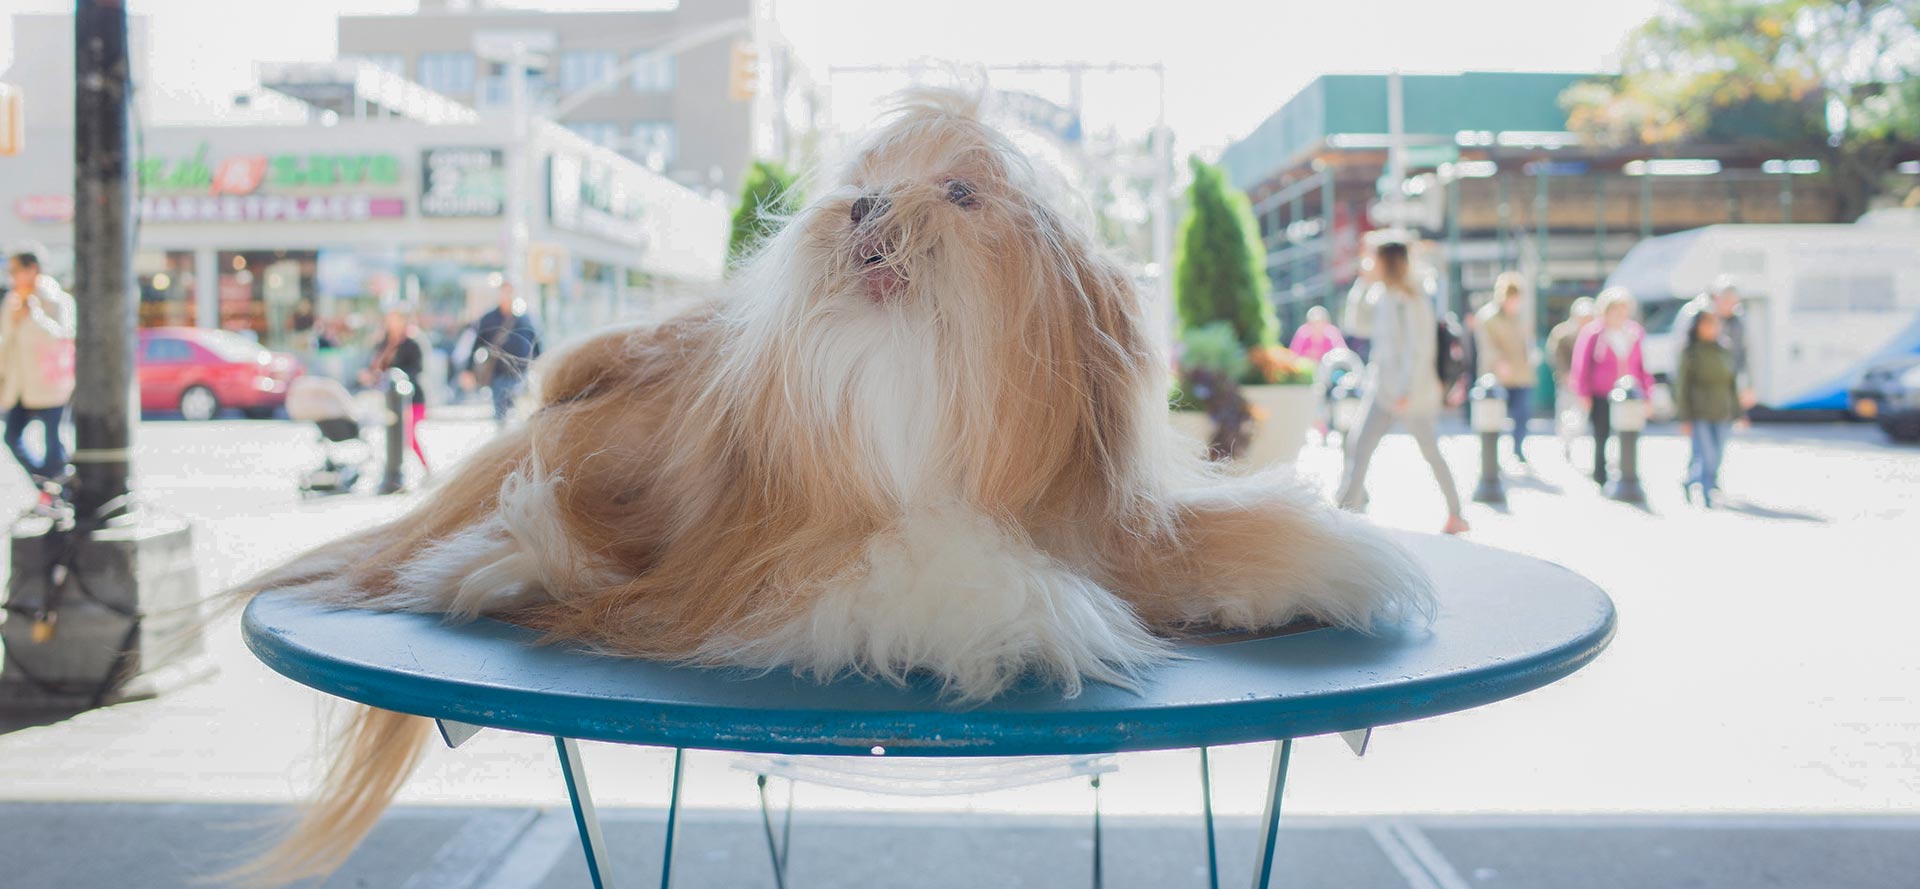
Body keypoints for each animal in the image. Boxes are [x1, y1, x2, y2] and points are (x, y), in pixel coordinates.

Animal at [240, 92, 1436, 883]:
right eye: (869, 179)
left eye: (959, 194)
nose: (864, 207)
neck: (924, 408)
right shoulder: (792, 562)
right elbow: (954, 570)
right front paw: (1039, 614)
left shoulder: (1097, 515)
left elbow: (1206, 539)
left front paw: (1324, 556)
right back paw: (511, 556)